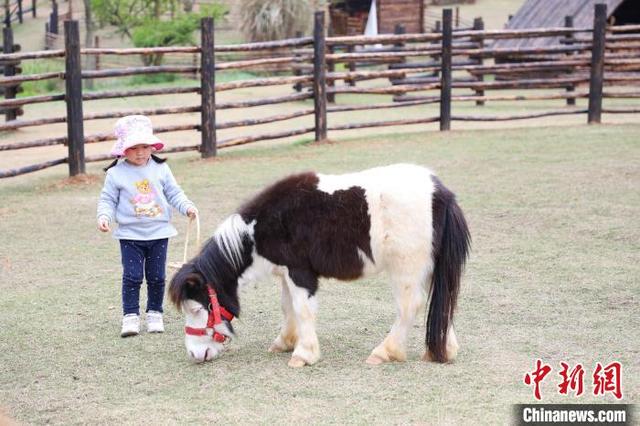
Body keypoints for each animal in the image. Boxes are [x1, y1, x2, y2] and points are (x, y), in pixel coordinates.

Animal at [170, 163, 470, 366]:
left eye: (197, 309)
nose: (194, 354)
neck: (260, 228)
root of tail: (441, 194)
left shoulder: (300, 273)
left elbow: (302, 310)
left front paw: (303, 355)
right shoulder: (286, 274)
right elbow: (288, 307)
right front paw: (285, 342)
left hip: (405, 269)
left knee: (410, 307)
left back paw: (385, 352)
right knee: (442, 301)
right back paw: (441, 350)